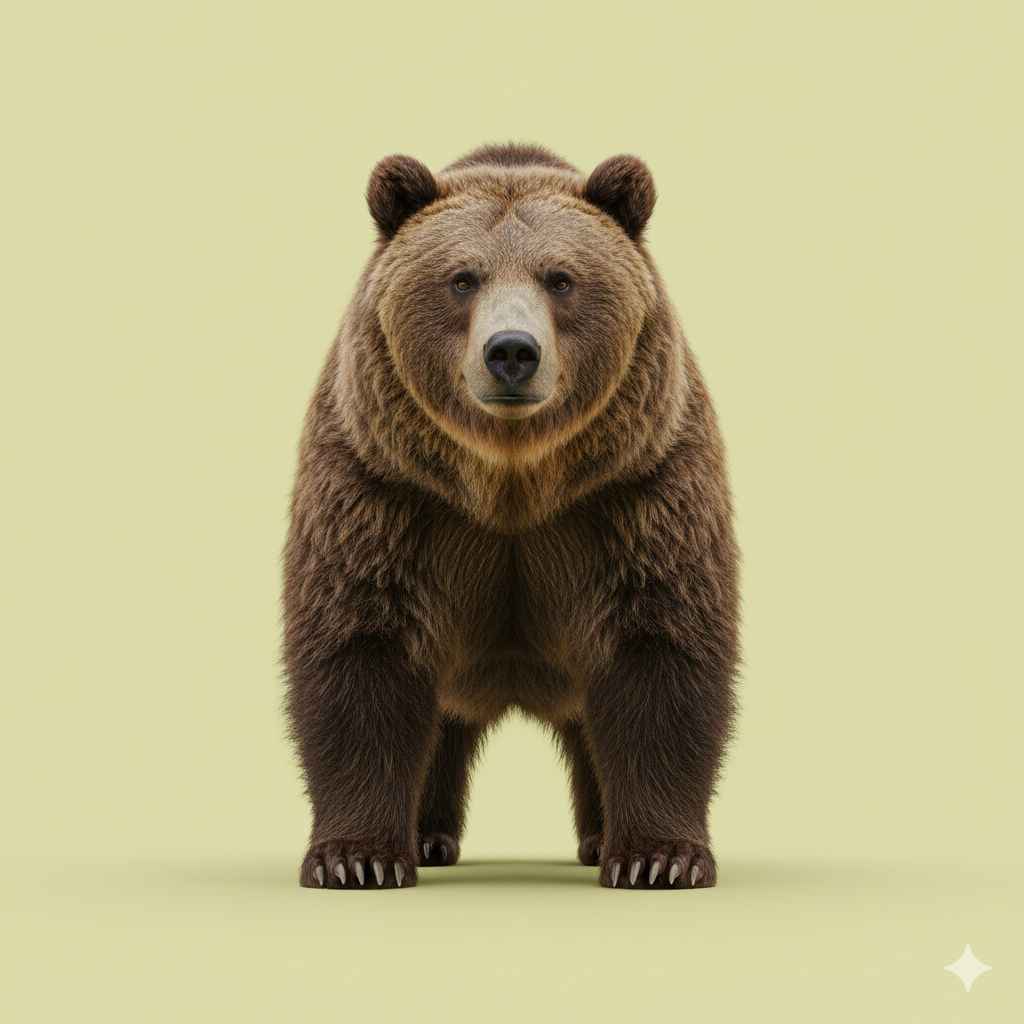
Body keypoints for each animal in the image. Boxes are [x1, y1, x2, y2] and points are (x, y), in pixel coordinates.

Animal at [283, 143, 739, 891]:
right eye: (462, 278)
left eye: (561, 278)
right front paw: (357, 859)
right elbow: (360, 651)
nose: (512, 351)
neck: (511, 481)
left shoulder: (635, 492)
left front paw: (657, 859)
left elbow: (660, 653)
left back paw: (596, 837)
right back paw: (428, 836)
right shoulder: (386, 492)